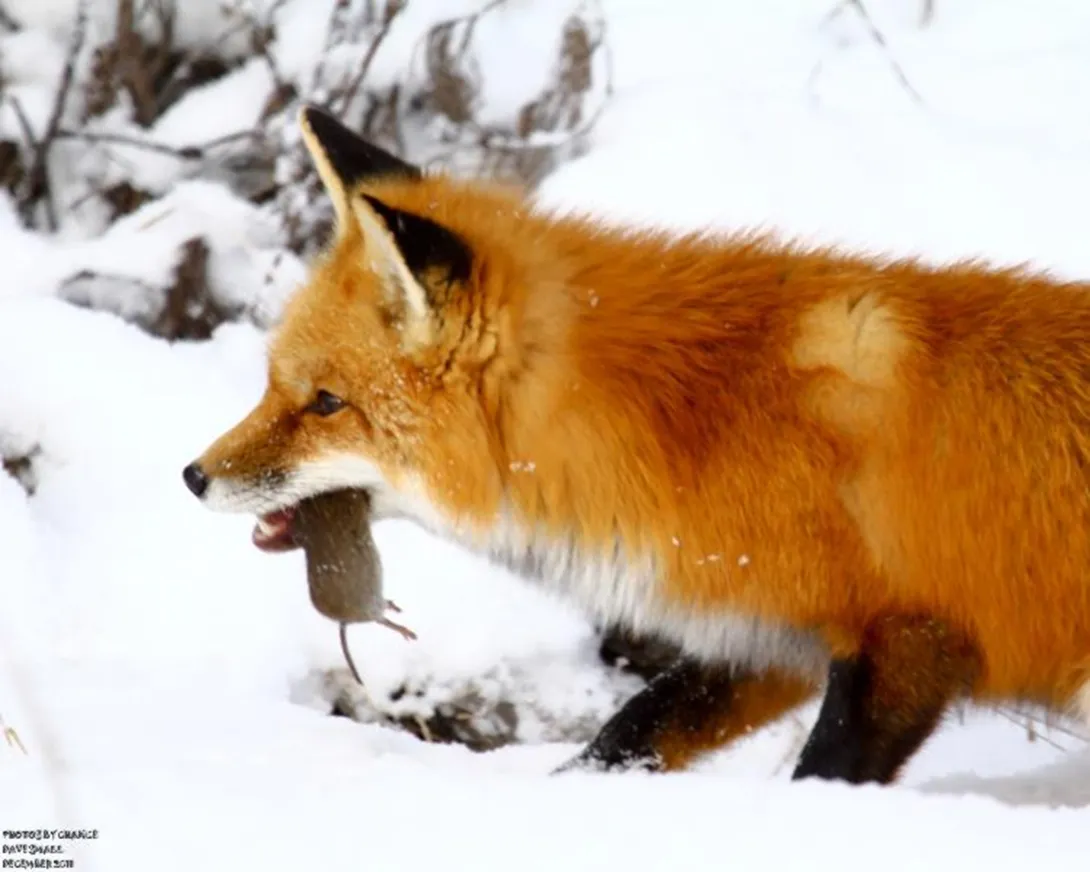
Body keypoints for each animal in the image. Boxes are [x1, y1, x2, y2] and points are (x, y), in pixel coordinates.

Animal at [184, 104, 1090, 785]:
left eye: (326, 403)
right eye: (274, 385)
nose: (192, 476)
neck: (708, 421)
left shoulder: (907, 638)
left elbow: (819, 772)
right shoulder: (765, 635)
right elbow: (628, 732)